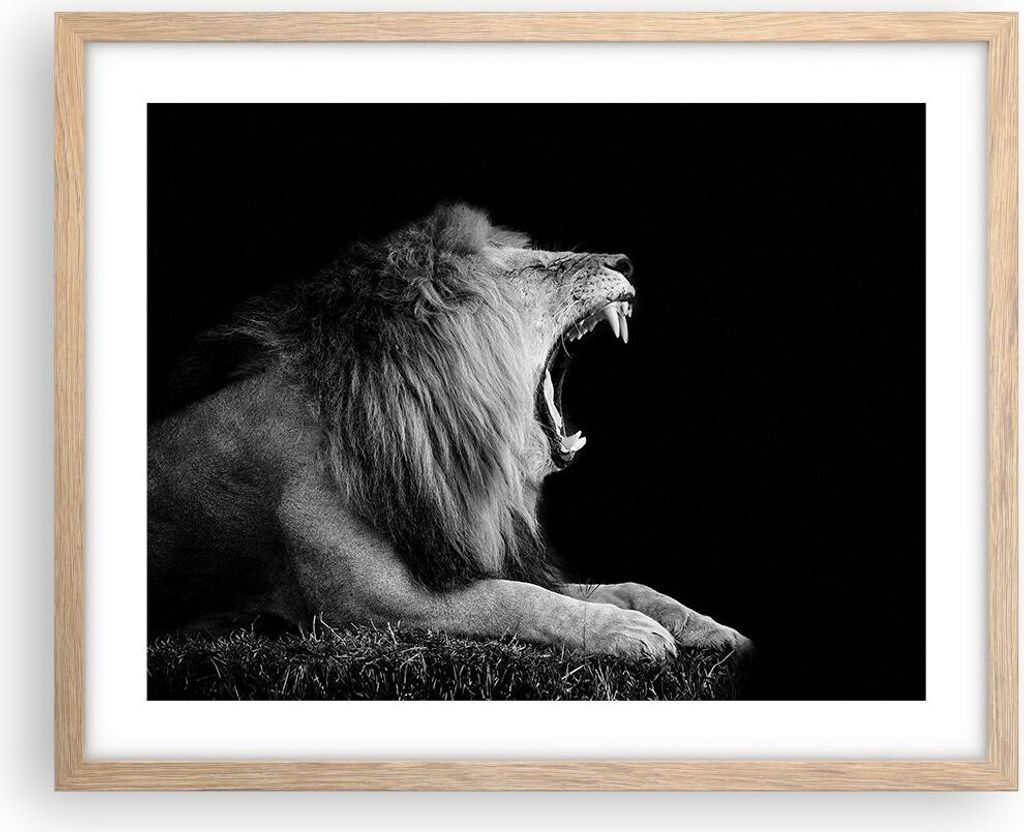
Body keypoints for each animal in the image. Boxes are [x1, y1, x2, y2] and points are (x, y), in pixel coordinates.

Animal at [148, 203, 751, 660]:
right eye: (535, 268)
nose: (624, 260)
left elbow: (624, 586)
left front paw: (707, 626)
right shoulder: (370, 603)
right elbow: (515, 599)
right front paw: (622, 630)